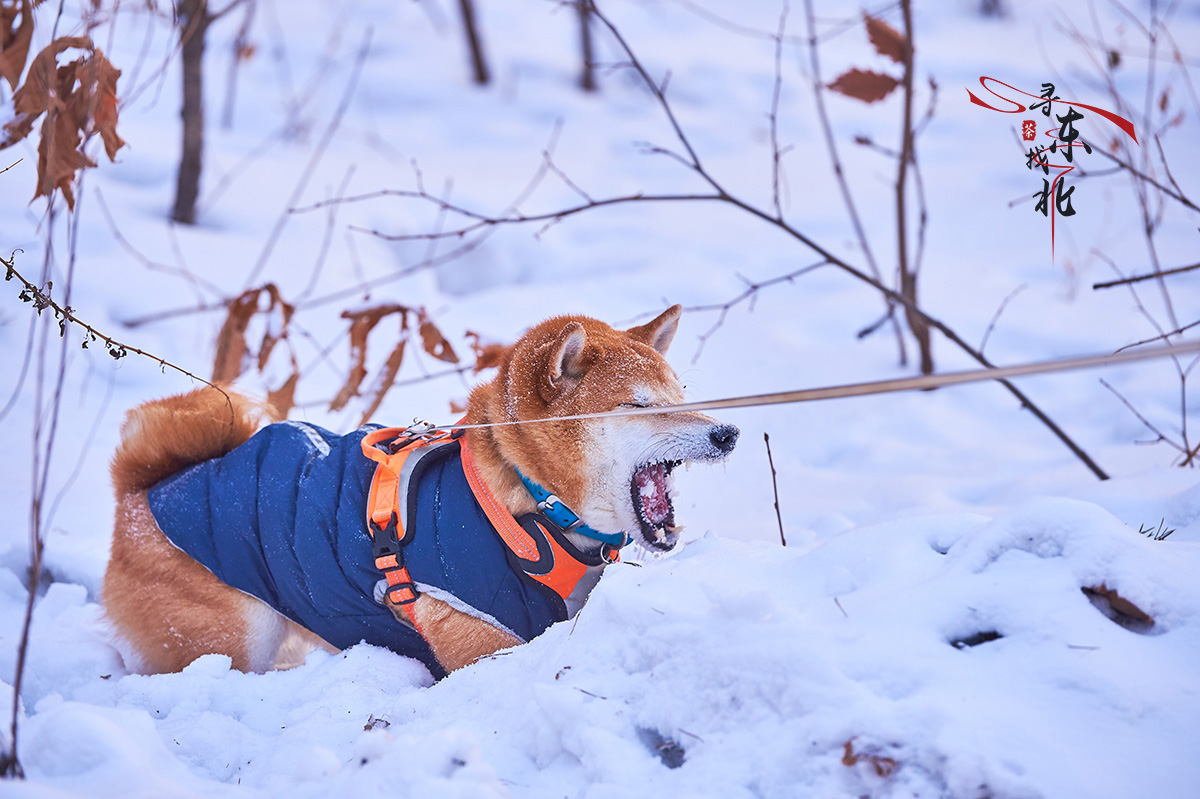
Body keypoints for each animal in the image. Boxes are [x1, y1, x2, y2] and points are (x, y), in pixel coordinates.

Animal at [105, 303, 739, 671]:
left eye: (682, 396)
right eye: (638, 405)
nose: (729, 431)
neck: (528, 507)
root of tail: (144, 489)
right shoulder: (480, 644)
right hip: (237, 633)